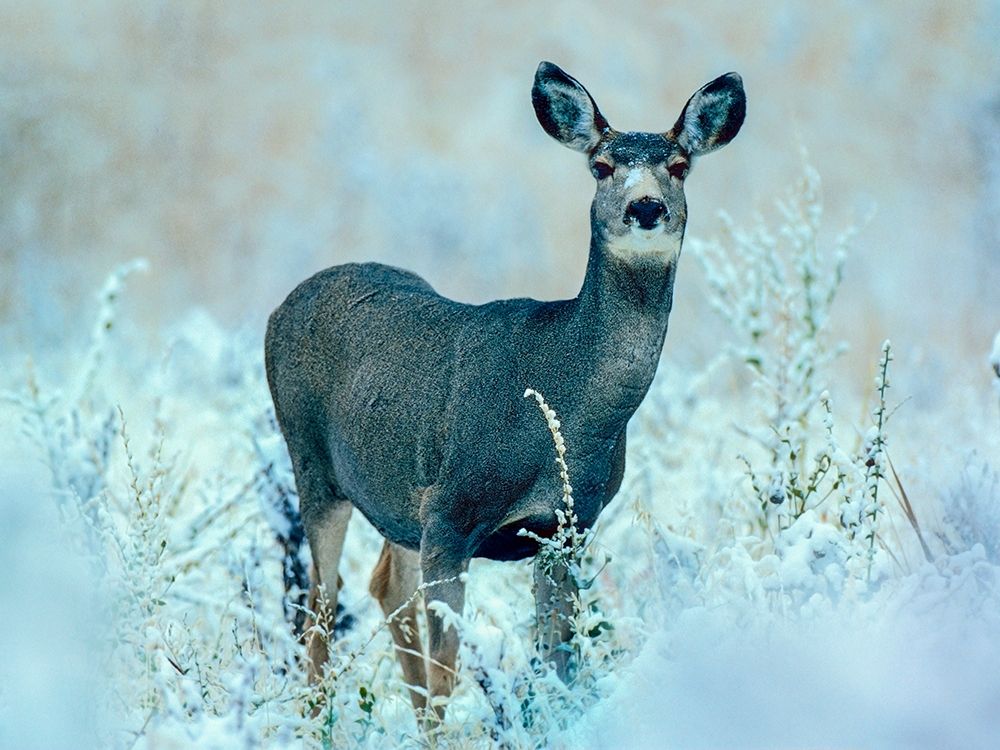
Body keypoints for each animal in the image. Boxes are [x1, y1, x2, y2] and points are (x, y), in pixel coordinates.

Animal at [264, 61, 745, 720]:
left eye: (678, 165)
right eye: (601, 165)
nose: (645, 207)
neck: (566, 404)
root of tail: (280, 308)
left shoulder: (566, 527)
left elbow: (562, 661)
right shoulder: (451, 513)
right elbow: (448, 670)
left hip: (394, 498)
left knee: (382, 582)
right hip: (313, 467)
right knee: (320, 608)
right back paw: (319, 720)